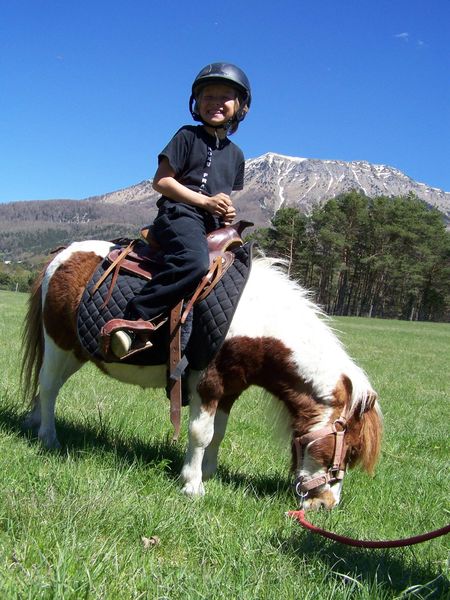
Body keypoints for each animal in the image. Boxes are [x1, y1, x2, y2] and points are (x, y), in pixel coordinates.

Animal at [20, 237, 380, 508]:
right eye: (350, 451)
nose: (326, 505)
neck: (257, 320)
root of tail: (61, 255)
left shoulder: (230, 390)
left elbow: (218, 433)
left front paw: (208, 473)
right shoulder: (207, 383)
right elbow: (200, 433)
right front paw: (192, 485)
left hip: (75, 352)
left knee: (47, 388)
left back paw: (35, 422)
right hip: (59, 344)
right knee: (49, 387)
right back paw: (48, 438)